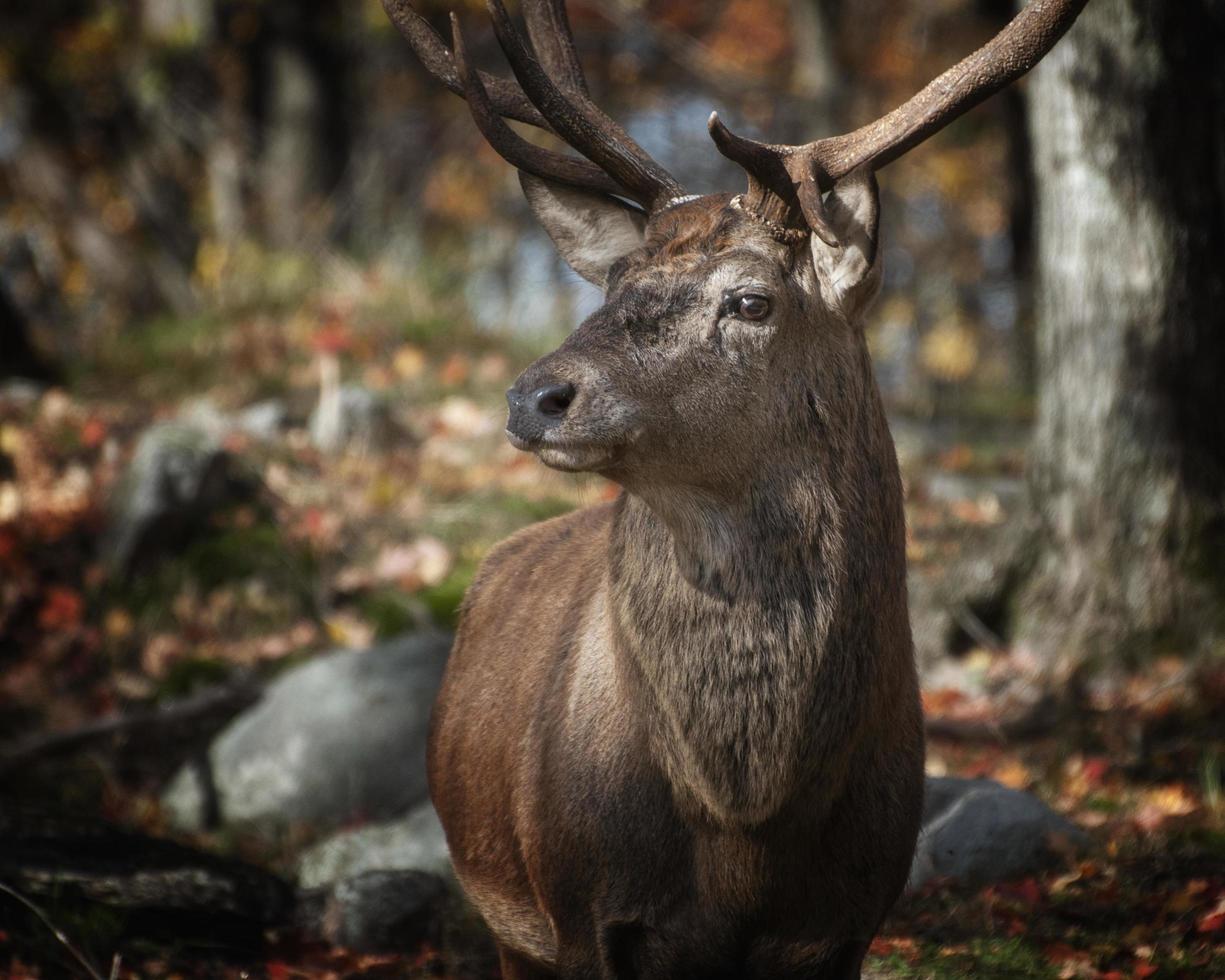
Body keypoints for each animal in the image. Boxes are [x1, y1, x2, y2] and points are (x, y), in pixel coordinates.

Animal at [384, 3, 1092, 975]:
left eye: (751, 301)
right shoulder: (578, 908)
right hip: (504, 918)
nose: (533, 396)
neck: (744, 831)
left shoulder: (852, 915)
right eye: (612, 284)